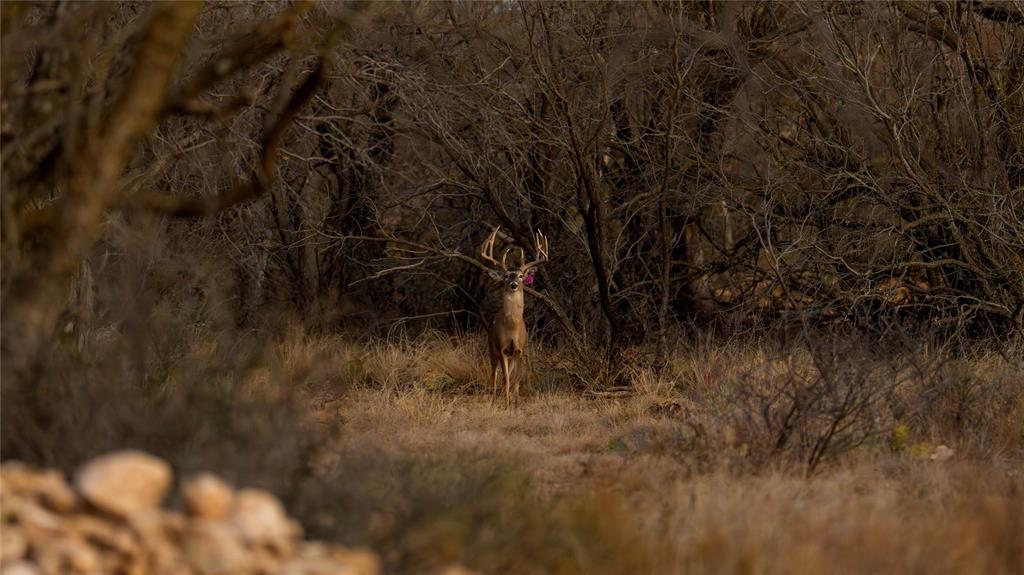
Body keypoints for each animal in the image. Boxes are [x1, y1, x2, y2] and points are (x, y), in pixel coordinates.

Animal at [479, 226, 549, 408]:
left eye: (521, 276)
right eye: (506, 276)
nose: (513, 284)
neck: (512, 327)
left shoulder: (520, 350)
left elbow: (516, 379)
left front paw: (516, 402)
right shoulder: (502, 349)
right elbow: (506, 380)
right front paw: (507, 402)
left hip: (510, 356)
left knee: (507, 375)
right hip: (492, 349)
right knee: (494, 375)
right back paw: (494, 398)